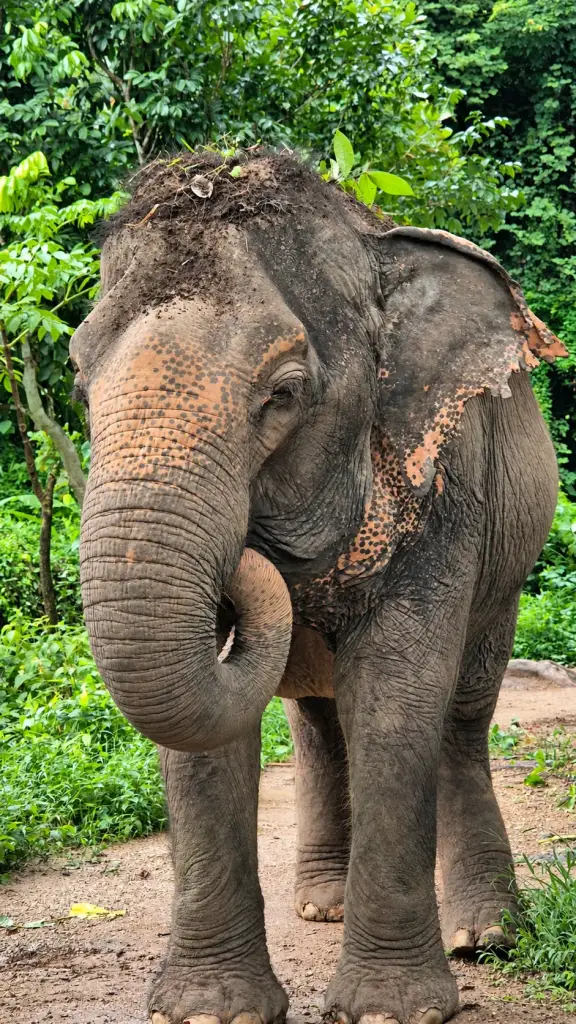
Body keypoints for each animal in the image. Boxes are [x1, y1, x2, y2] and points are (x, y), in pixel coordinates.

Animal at [70, 151, 567, 1024]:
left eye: (284, 393)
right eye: (76, 382)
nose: (247, 554)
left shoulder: (446, 481)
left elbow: (398, 694)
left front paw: (388, 1010)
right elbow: (203, 733)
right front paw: (209, 1010)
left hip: (510, 559)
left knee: (462, 714)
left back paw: (488, 936)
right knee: (316, 716)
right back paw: (324, 906)